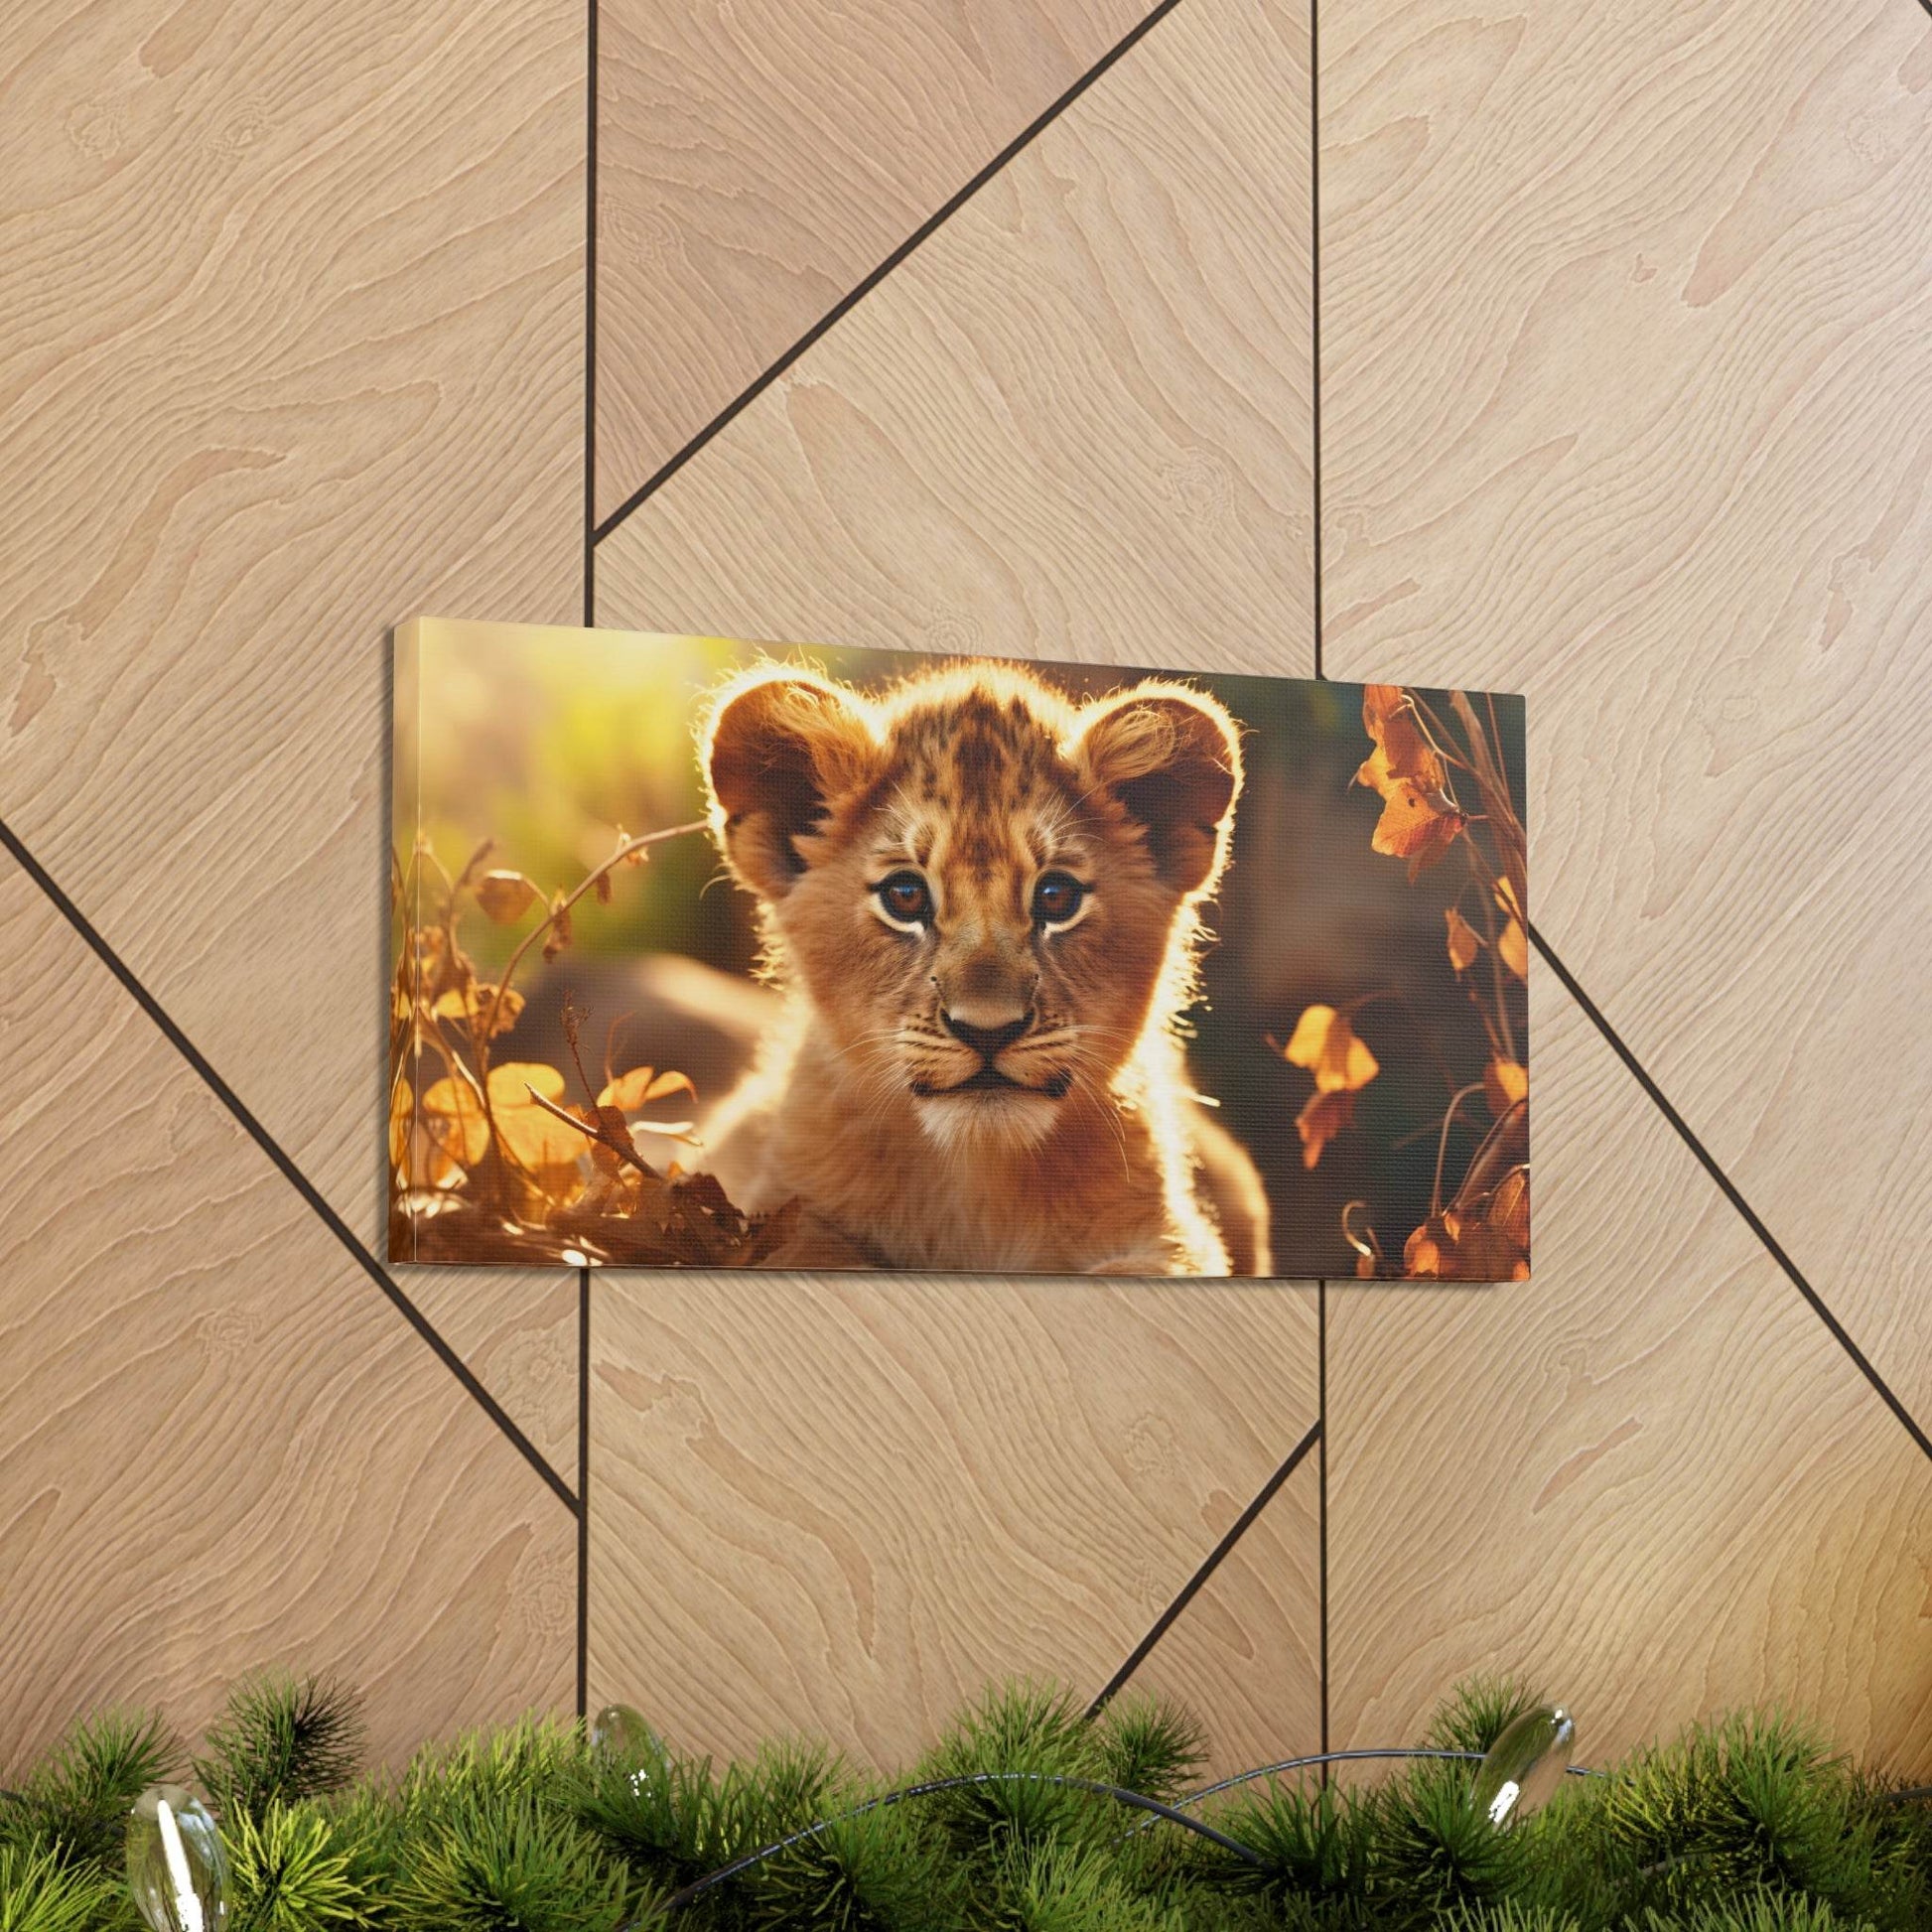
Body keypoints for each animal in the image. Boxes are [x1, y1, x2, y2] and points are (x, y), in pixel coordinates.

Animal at [692, 657, 1272, 1277]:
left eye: (1056, 898)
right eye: (904, 896)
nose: (988, 1030)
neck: (977, 1186)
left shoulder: (1172, 1237)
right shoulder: (766, 1211)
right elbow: (816, 1247)